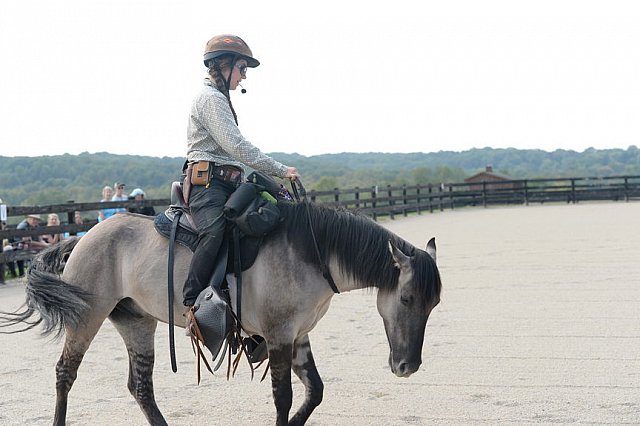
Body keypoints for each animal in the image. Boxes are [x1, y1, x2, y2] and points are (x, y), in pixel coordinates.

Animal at [0, 201, 442, 424]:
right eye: (406, 299)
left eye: (434, 304)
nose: (408, 367)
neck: (312, 253)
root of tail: (85, 236)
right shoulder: (279, 337)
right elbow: (283, 398)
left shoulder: (298, 336)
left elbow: (314, 392)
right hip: (86, 316)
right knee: (65, 373)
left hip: (136, 321)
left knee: (140, 387)